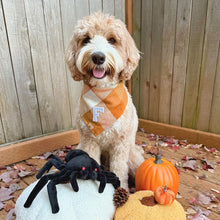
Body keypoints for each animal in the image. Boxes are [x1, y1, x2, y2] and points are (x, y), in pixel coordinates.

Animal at [65, 11, 144, 189]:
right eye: (86, 39)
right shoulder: (89, 141)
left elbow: (120, 168)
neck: (102, 94)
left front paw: (121, 189)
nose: (98, 57)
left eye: (112, 40)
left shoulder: (120, 144)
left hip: (132, 155)